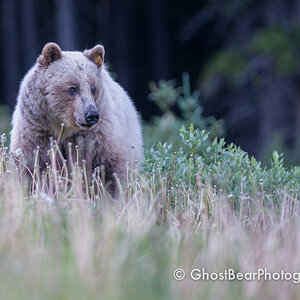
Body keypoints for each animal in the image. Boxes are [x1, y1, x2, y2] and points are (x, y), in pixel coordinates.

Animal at [9, 41, 144, 193]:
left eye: (93, 88)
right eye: (73, 88)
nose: (91, 115)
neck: (62, 126)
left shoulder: (94, 137)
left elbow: (106, 169)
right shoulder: (37, 131)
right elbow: (32, 167)